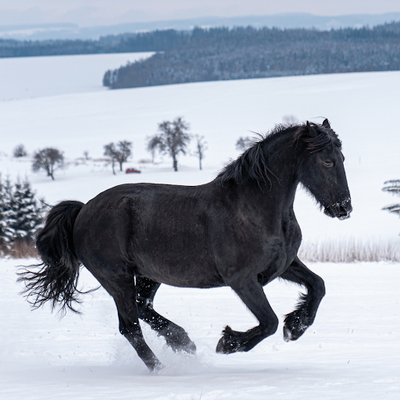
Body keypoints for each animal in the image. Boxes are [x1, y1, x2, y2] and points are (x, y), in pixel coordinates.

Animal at [18, 119, 352, 372]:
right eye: (327, 160)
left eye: (343, 158)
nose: (344, 208)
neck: (254, 208)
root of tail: (83, 210)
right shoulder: (242, 280)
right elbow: (268, 322)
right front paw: (228, 342)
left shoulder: (284, 265)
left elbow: (318, 286)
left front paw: (295, 326)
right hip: (117, 278)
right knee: (131, 327)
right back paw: (162, 369)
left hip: (148, 275)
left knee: (143, 308)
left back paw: (182, 342)